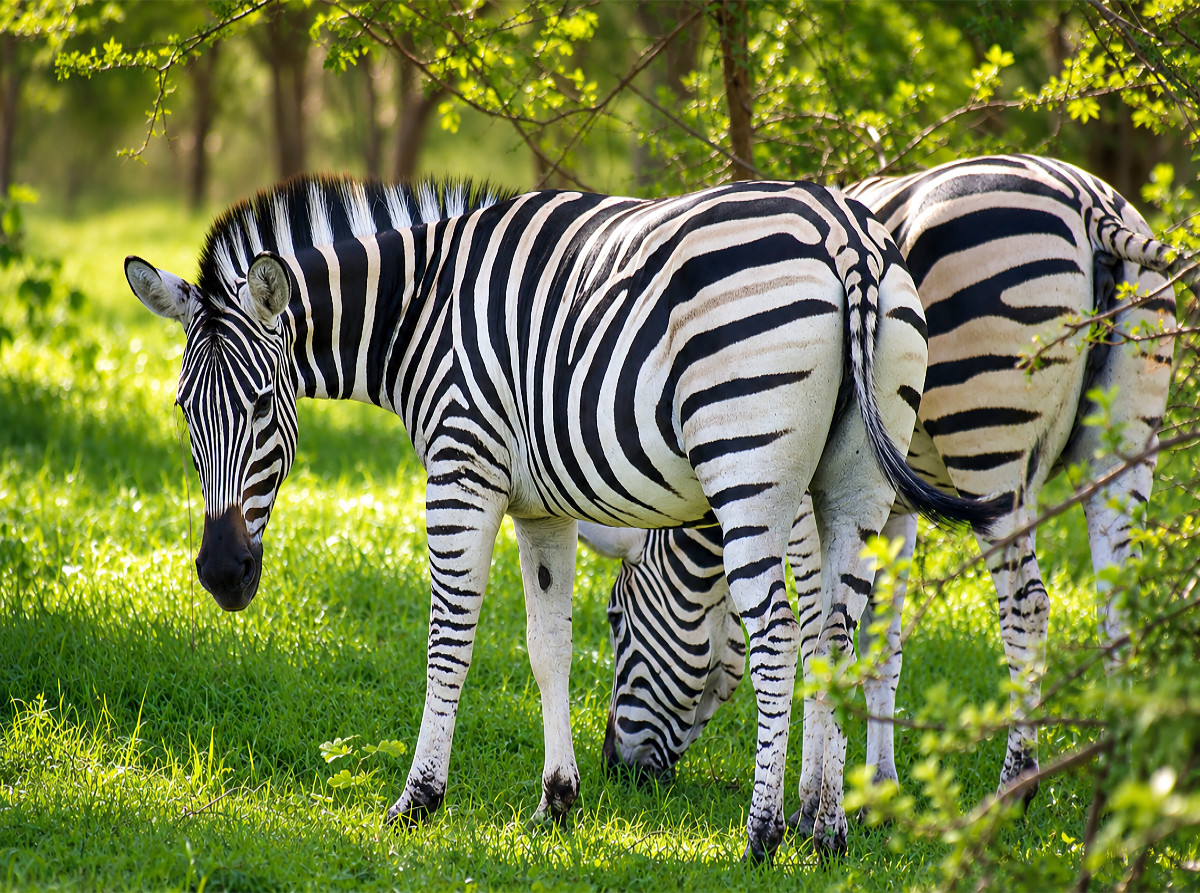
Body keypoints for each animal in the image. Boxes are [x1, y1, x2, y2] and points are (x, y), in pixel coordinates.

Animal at [124, 174, 1000, 861]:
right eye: (183, 411)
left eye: (260, 404)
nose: (222, 575)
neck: (418, 311)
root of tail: (843, 233)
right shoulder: (542, 506)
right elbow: (548, 648)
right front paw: (557, 801)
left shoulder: (462, 470)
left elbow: (449, 642)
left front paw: (418, 800)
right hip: (851, 485)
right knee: (837, 636)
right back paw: (826, 832)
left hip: (748, 468)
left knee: (781, 636)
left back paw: (761, 834)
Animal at [584, 153, 1191, 838]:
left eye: (614, 620)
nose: (615, 768)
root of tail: (1088, 198)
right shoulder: (891, 506)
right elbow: (880, 640)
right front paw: (877, 789)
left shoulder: (803, 501)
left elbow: (817, 626)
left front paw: (809, 805)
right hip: (1124, 445)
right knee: (1120, 604)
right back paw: (1122, 788)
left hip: (988, 439)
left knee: (1027, 605)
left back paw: (1015, 787)